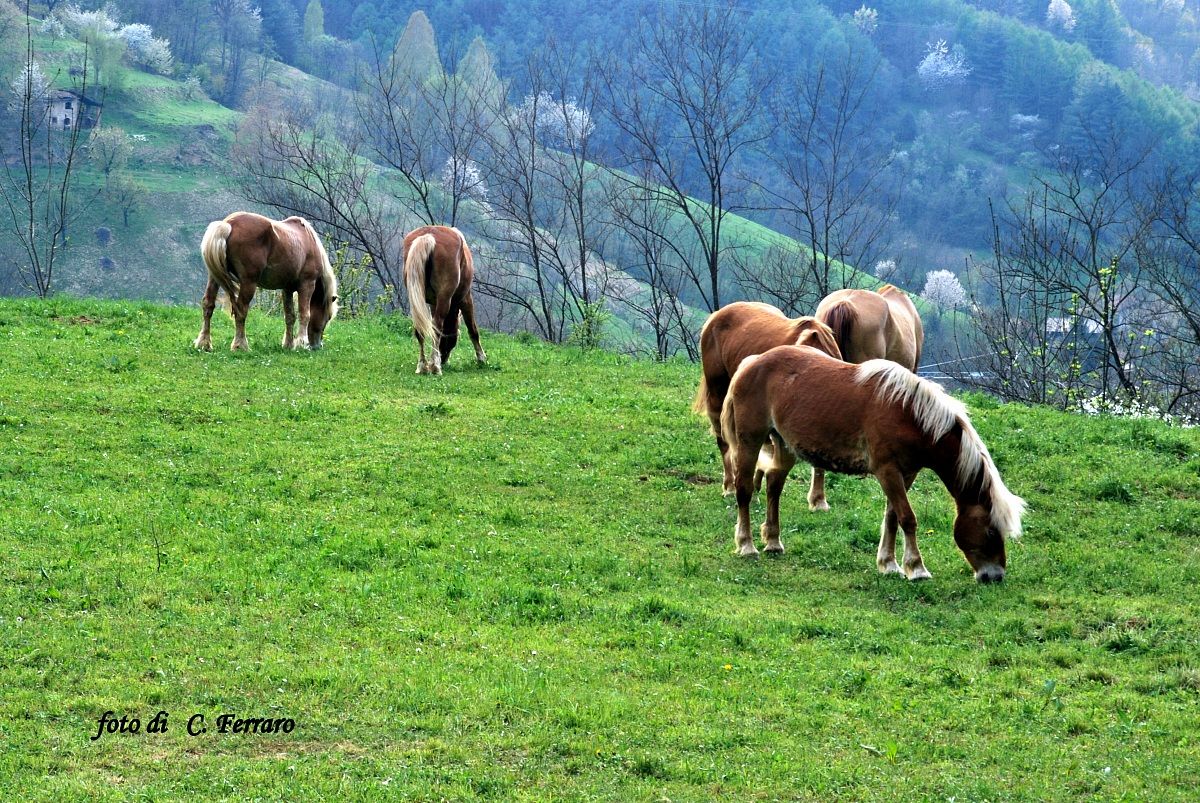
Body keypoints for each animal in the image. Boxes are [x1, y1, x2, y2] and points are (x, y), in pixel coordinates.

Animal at [194, 211, 339, 352]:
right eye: (328, 317)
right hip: (248, 282)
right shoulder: (307, 284)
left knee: (208, 305)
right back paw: (240, 345)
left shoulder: (287, 289)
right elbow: (305, 314)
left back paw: (204, 343)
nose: (317, 346)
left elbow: (290, 316)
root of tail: (228, 224)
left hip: (214, 278)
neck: (309, 241)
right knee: (241, 310)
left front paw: (288, 344)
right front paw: (301, 344)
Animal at [403, 225, 487, 375]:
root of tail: (429, 235)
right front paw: (481, 358)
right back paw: (435, 367)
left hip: (416, 299)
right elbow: (473, 330)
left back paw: (422, 365)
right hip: (445, 297)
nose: (444, 359)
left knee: (420, 328)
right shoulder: (466, 299)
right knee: (436, 325)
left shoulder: (433, 303)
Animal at [720, 345, 1024, 583]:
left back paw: (773, 541)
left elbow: (892, 517)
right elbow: (907, 518)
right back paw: (747, 545)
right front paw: (916, 568)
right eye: (990, 530)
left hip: (784, 446)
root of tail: (752, 362)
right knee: (744, 490)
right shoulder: (888, 471)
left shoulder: (906, 474)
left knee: (774, 484)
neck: (910, 414)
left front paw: (889, 564)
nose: (995, 575)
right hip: (750, 442)